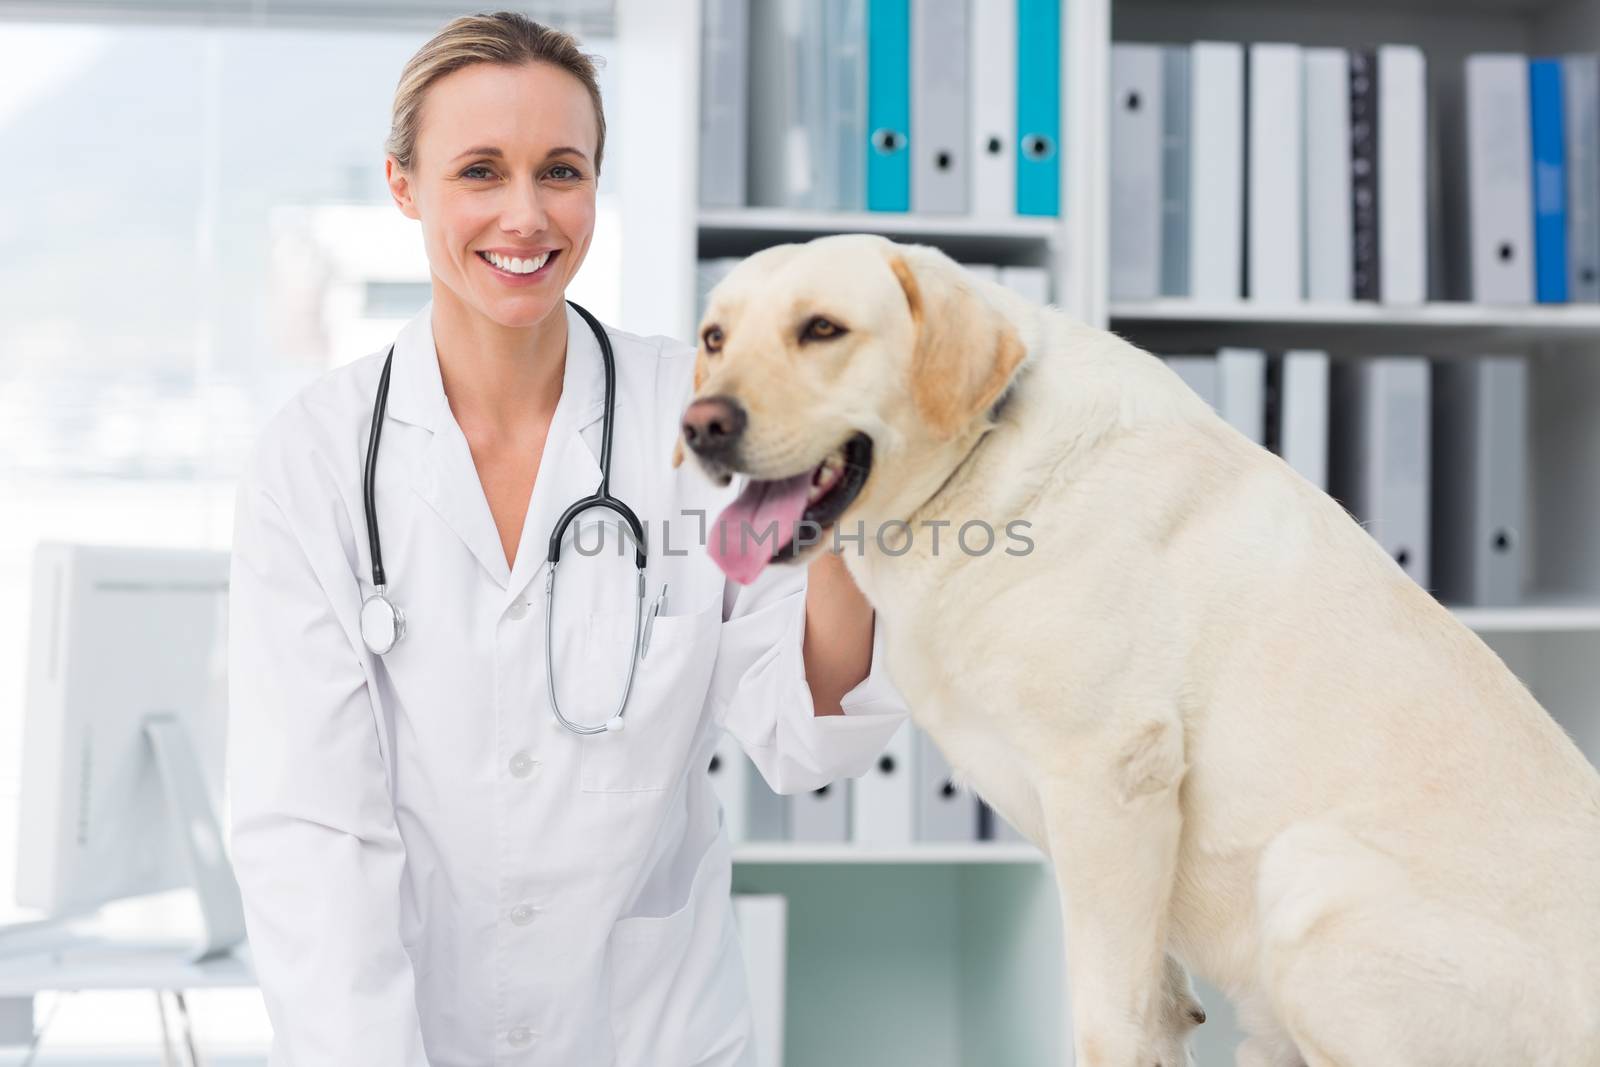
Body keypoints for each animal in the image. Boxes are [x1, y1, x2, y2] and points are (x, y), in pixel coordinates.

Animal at [675, 235, 1600, 1067]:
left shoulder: (1109, 778)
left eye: (822, 329)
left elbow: (1104, 1020)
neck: (978, 465)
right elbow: (1152, 1006)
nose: (702, 424)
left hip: (1308, 880)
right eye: (714, 337)